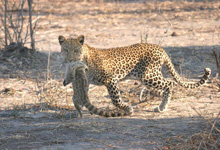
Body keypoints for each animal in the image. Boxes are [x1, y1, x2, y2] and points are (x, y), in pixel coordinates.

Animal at [58, 34, 211, 113]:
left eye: (76, 50)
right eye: (65, 50)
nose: (70, 59)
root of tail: (160, 48)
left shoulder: (110, 80)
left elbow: (115, 99)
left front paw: (127, 108)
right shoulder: (87, 80)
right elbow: (81, 93)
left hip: (149, 76)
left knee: (170, 83)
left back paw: (162, 107)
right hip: (147, 77)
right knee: (164, 86)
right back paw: (160, 101)